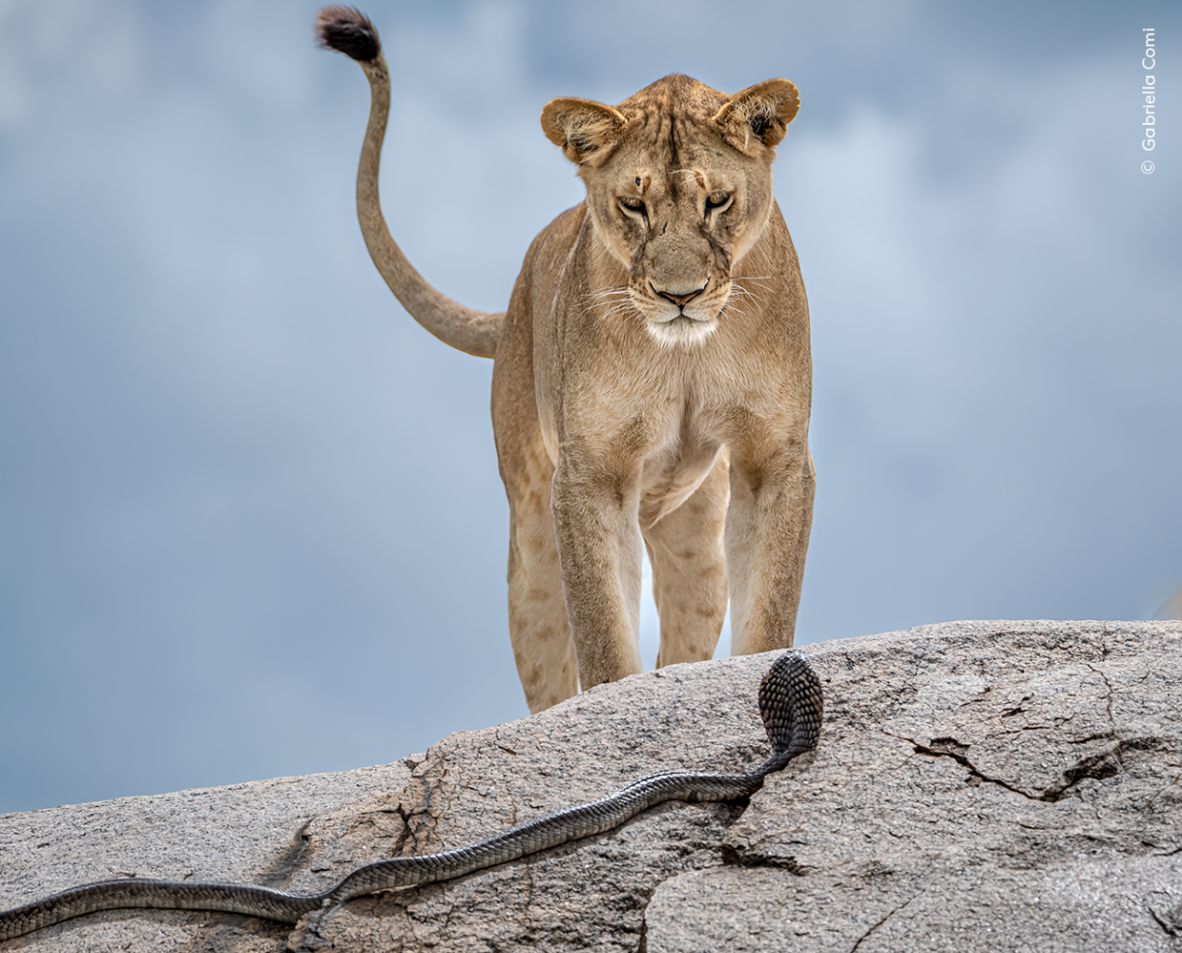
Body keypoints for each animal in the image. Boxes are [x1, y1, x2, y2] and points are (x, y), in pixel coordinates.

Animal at [317, 7, 814, 712]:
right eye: (634, 205)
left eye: (717, 201)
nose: (680, 296)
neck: (685, 355)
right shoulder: (591, 473)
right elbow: (602, 629)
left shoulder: (774, 456)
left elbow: (770, 606)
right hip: (531, 542)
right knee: (546, 648)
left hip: (697, 547)